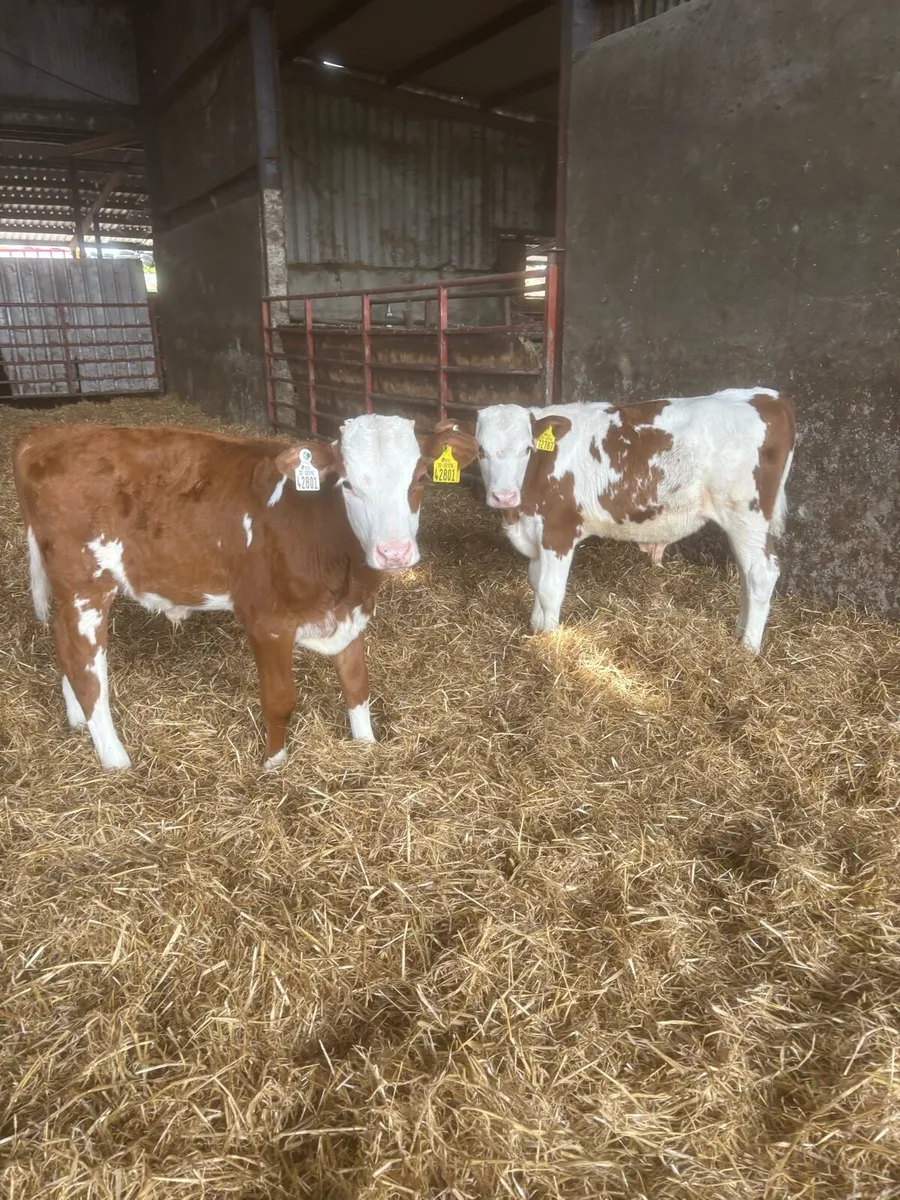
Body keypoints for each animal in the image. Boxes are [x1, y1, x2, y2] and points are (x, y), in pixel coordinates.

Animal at [13, 414, 477, 770]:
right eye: (346, 484)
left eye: (421, 477)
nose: (393, 552)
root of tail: (48, 435)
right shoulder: (266, 620)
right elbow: (280, 699)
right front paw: (274, 763)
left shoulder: (349, 612)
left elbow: (357, 684)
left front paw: (366, 746)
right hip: (85, 585)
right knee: (87, 667)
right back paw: (115, 759)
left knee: (63, 645)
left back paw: (77, 719)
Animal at [474, 389, 796, 652]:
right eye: (481, 450)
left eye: (527, 449)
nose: (503, 496)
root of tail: (767, 396)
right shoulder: (534, 530)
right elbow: (535, 581)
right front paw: (535, 628)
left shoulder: (559, 529)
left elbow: (549, 590)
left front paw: (549, 640)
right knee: (746, 576)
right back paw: (739, 633)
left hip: (747, 515)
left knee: (761, 573)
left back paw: (749, 648)